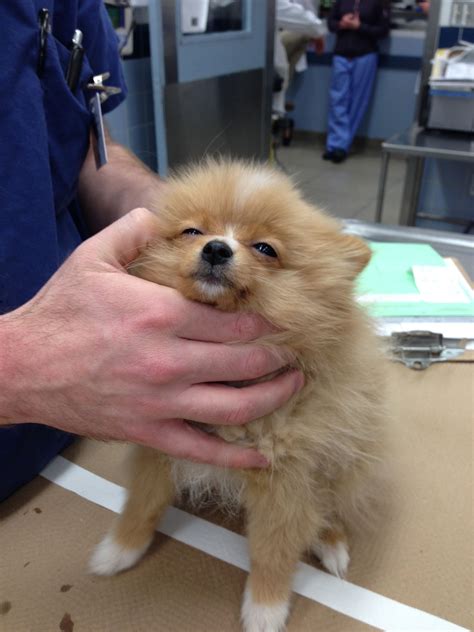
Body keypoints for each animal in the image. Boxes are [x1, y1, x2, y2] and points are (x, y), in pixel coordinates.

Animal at [89, 159, 386, 632]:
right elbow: (141, 505)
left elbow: (272, 552)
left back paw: (332, 542)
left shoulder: (283, 481)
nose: (216, 249)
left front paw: (265, 608)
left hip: (340, 459)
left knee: (327, 507)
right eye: (192, 231)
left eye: (265, 248)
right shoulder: (159, 448)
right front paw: (119, 550)